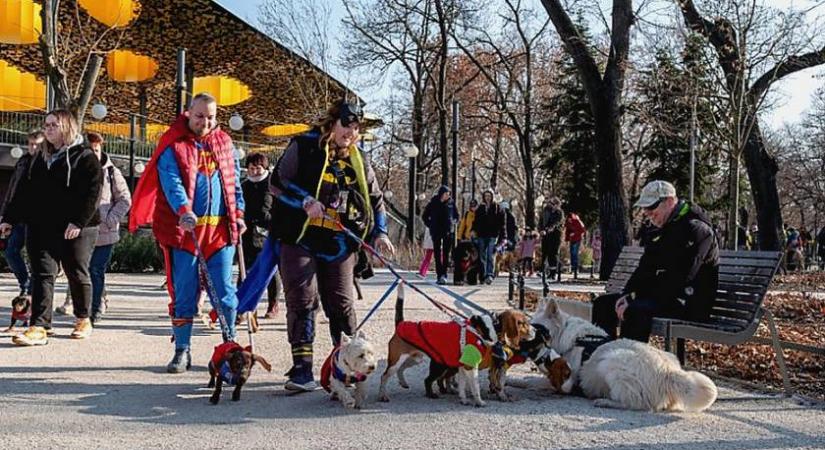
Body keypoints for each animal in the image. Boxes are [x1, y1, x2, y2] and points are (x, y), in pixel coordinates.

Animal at [536, 298, 716, 414]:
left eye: (537, 327)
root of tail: (668, 372)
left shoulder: (569, 379)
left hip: (610, 360)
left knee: (635, 403)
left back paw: (606, 402)